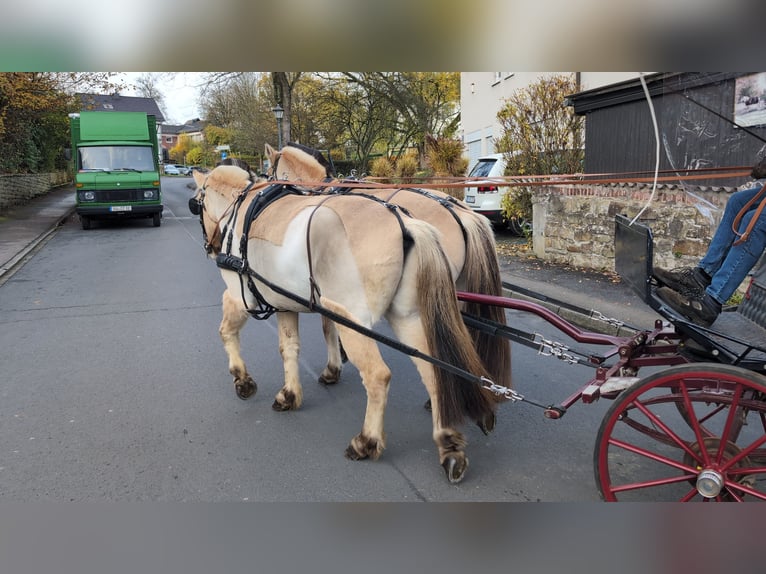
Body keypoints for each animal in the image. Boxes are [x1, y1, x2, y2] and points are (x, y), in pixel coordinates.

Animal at [191, 164, 500, 484]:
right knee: (436, 368)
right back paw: (449, 443)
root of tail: (406, 223)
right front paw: (290, 394)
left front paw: (243, 380)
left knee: (378, 376)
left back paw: (366, 441)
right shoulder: (285, 304)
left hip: (353, 317)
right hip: (410, 316)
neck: (242, 210)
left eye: (196, 204)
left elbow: (226, 331)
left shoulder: (241, 298)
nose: (210, 247)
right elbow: (289, 348)